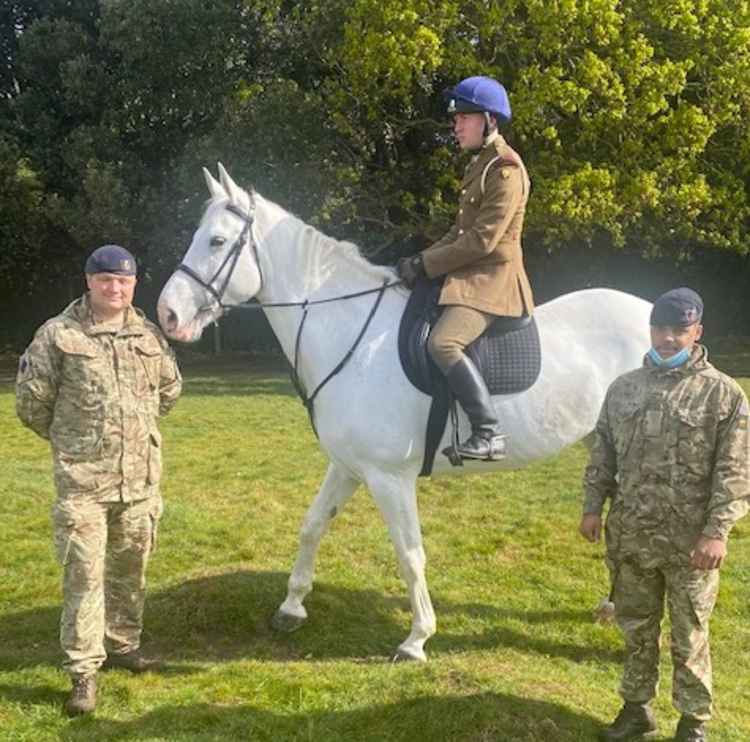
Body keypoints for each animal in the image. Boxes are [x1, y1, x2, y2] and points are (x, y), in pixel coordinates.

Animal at [157, 164, 652, 664]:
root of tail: (650, 309)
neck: (351, 336)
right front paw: (291, 608)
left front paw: (417, 639)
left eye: (217, 241)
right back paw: (612, 606)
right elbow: (312, 525)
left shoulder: (389, 477)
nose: (167, 313)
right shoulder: (347, 466)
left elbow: (410, 554)